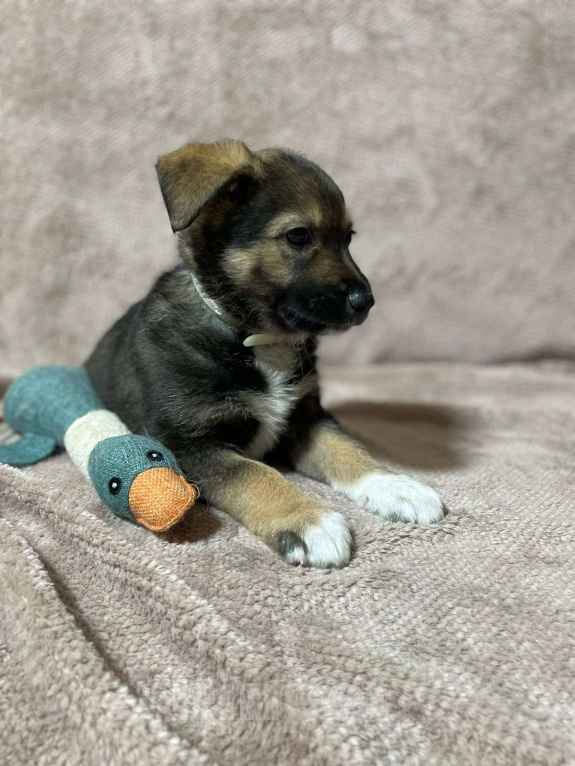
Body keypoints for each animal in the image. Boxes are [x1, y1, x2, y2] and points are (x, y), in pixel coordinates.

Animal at [85, 141, 446, 568]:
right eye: (298, 235)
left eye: (349, 237)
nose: (366, 302)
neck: (258, 337)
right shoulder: (188, 442)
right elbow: (254, 474)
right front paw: (308, 520)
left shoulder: (306, 415)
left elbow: (347, 448)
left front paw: (395, 485)